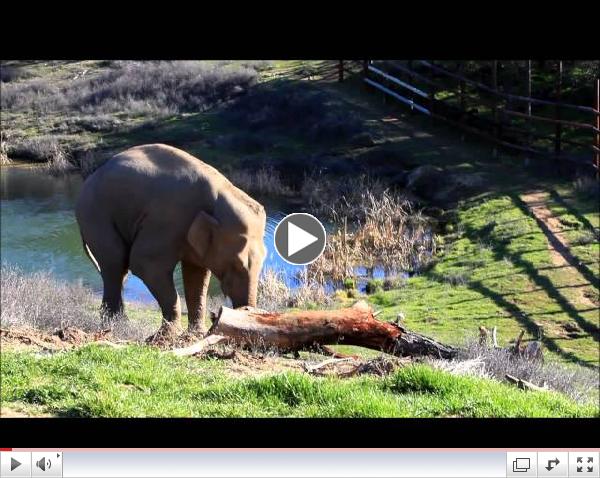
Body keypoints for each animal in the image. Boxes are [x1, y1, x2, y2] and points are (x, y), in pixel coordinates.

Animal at [74, 144, 266, 338]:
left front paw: (195, 335)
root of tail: (92, 175)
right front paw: (169, 336)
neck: (219, 195)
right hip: (95, 214)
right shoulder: (168, 221)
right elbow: (145, 264)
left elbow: (197, 274)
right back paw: (117, 326)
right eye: (236, 264)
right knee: (116, 262)